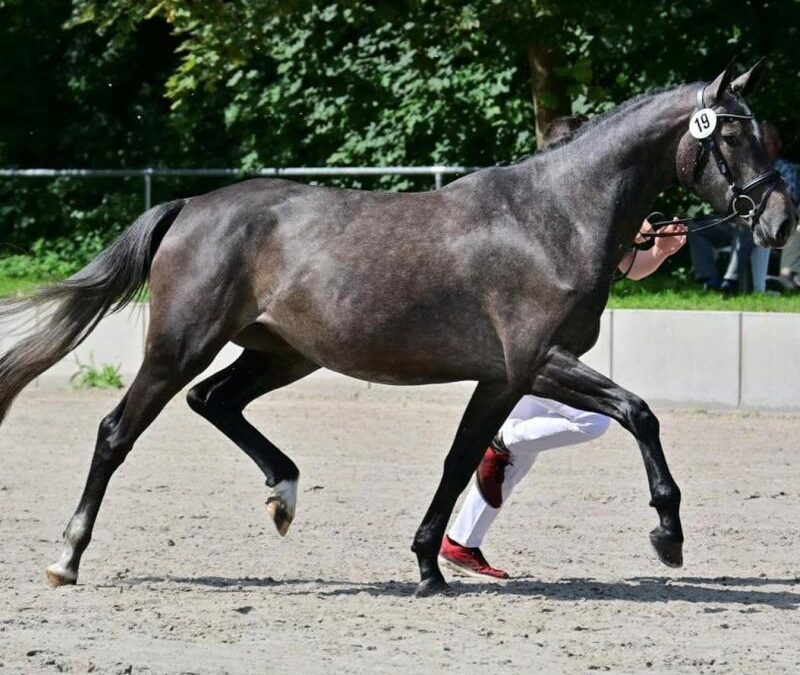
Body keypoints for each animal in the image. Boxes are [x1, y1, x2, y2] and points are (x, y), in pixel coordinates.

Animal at [0, 60, 792, 596]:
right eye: (733, 138)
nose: (780, 224)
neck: (553, 217)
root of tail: (190, 206)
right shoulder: (539, 361)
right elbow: (640, 413)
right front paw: (668, 535)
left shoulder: (503, 379)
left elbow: (459, 459)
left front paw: (427, 567)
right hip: (180, 345)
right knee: (118, 430)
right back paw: (66, 558)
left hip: (283, 354)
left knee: (215, 401)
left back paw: (283, 495)